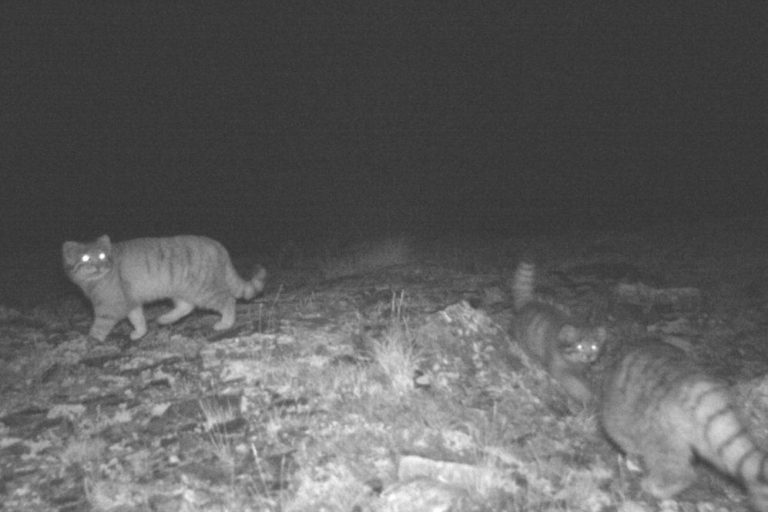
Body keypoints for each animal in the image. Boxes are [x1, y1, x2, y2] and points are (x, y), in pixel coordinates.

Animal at [60, 235, 264, 340]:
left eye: (102, 256)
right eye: (86, 258)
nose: (99, 265)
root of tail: (217, 244)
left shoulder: (108, 308)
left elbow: (98, 328)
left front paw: (91, 341)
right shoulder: (130, 301)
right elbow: (137, 319)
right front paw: (140, 332)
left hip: (201, 290)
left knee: (227, 300)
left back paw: (226, 322)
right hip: (180, 289)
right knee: (186, 306)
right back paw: (166, 318)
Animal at [512, 264, 608, 404]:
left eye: (594, 346)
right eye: (579, 346)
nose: (589, 357)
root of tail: (527, 303)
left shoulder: (580, 369)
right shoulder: (558, 368)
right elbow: (574, 385)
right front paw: (587, 397)